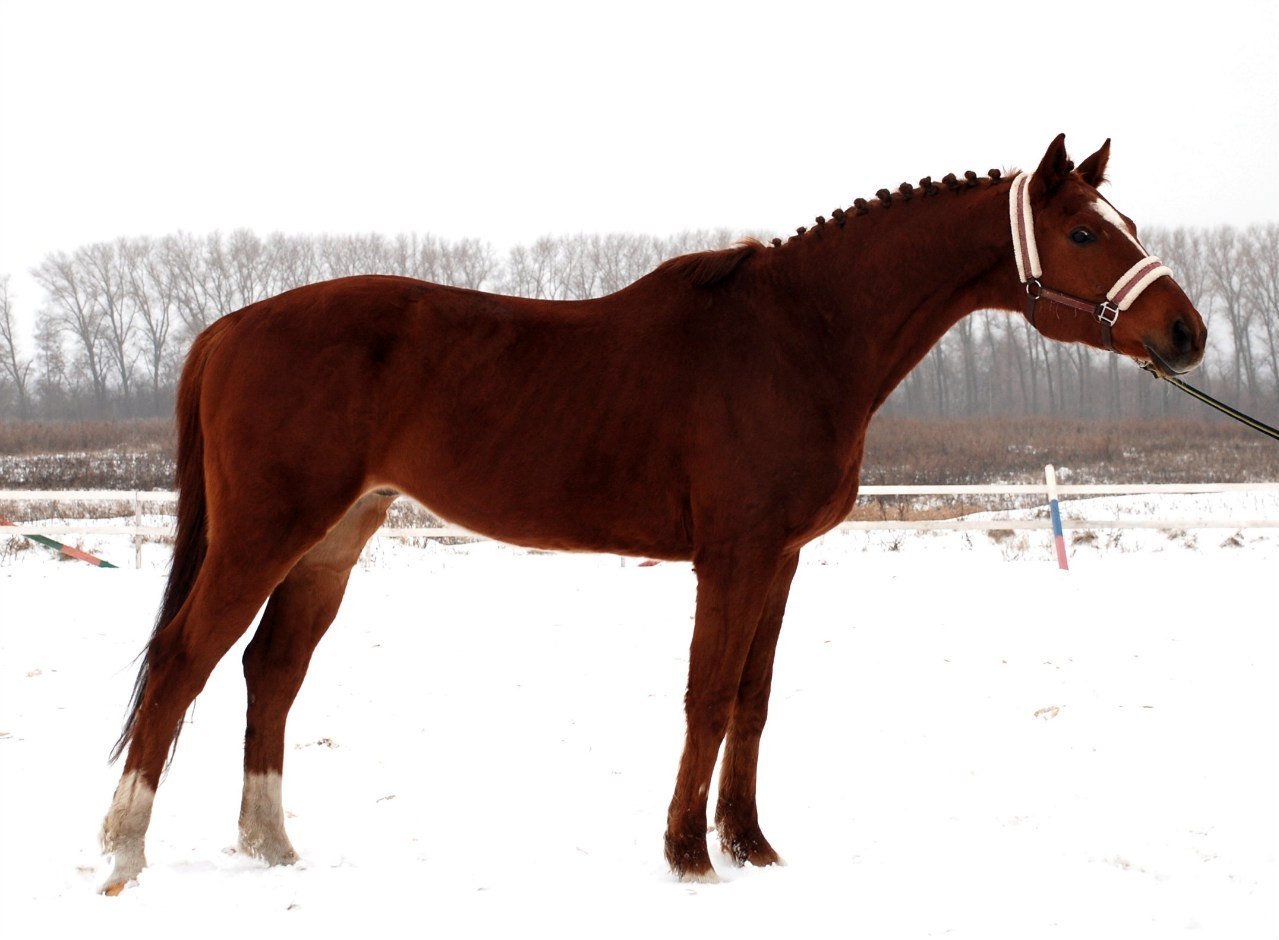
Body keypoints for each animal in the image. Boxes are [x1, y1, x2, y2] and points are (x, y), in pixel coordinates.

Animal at [102, 136, 1207, 895]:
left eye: (1122, 226)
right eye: (1084, 232)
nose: (1185, 334)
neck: (798, 338)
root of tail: (229, 328)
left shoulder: (781, 559)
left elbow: (752, 701)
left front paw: (751, 845)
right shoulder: (732, 556)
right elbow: (706, 697)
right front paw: (686, 852)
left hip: (333, 538)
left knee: (270, 670)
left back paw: (271, 844)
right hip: (264, 532)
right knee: (185, 659)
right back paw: (124, 849)